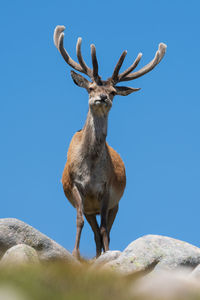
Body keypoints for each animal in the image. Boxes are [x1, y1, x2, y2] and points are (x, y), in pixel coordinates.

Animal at [52, 25, 166, 258]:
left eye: (113, 92)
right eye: (90, 88)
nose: (102, 98)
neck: (90, 167)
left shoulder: (107, 190)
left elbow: (105, 229)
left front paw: (108, 254)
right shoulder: (77, 187)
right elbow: (78, 221)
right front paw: (75, 254)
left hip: (116, 205)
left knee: (103, 231)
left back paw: (102, 253)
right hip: (91, 209)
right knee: (93, 231)